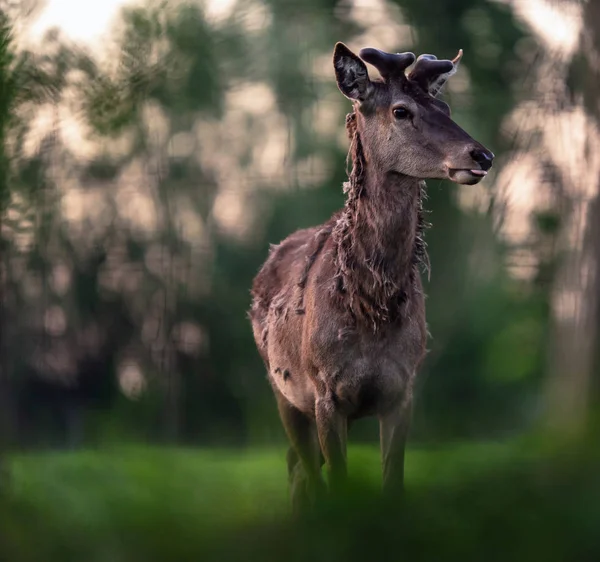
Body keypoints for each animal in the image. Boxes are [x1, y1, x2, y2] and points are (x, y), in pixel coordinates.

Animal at [247, 41, 492, 510]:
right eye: (401, 110)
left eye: (445, 106)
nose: (482, 155)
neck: (370, 311)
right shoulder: (325, 392)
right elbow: (340, 485)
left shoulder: (401, 389)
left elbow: (392, 483)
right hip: (281, 389)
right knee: (303, 471)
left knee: (298, 468)